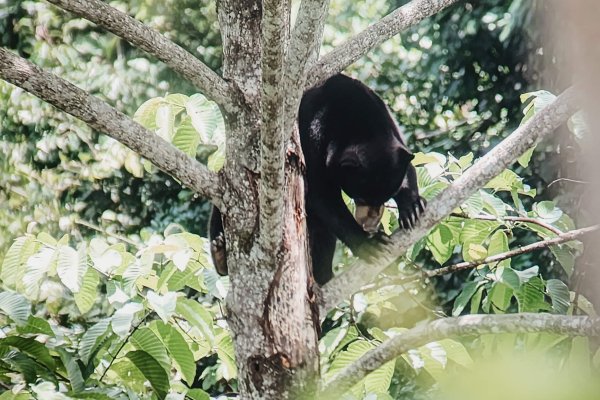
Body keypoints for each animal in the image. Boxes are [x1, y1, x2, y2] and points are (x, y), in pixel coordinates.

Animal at [209, 74, 424, 284]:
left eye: (385, 197)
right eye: (361, 197)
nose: (369, 224)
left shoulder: (389, 123)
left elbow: (408, 166)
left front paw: (412, 207)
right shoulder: (312, 133)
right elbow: (318, 193)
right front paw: (369, 244)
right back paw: (220, 254)